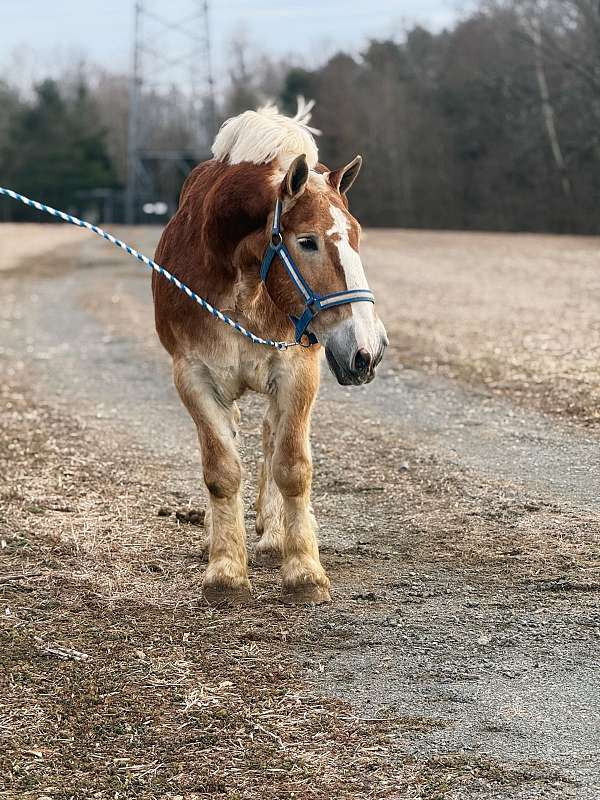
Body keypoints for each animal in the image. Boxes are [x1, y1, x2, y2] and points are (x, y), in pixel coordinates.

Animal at [152, 101, 388, 604]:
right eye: (307, 241)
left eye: (356, 235)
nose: (368, 349)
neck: (243, 285)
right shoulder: (193, 376)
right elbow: (221, 470)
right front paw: (225, 569)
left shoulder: (297, 371)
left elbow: (292, 467)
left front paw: (303, 569)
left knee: (270, 438)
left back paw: (274, 533)